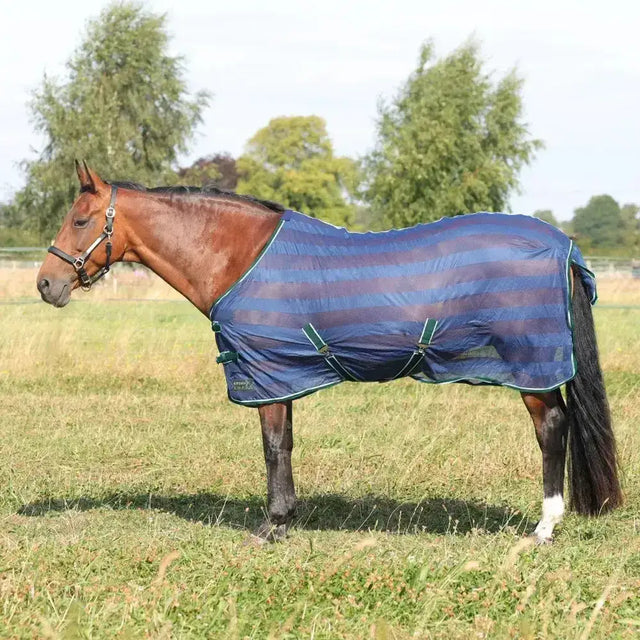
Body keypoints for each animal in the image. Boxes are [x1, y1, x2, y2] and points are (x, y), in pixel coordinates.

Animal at [36, 161, 622, 543]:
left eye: (81, 220)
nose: (46, 284)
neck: (240, 256)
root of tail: (563, 246)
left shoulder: (265, 373)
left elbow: (273, 447)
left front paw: (271, 526)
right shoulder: (284, 374)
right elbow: (288, 445)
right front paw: (288, 517)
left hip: (532, 368)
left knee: (552, 429)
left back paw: (544, 527)